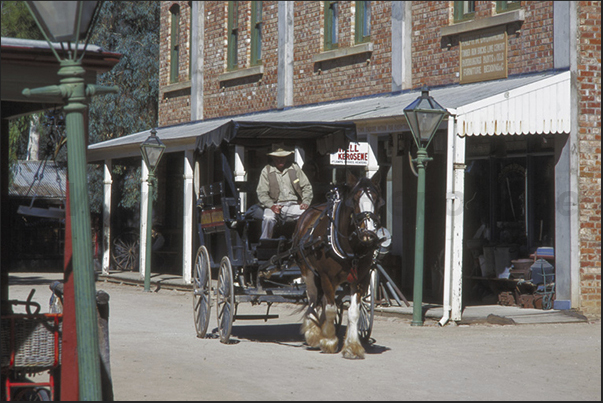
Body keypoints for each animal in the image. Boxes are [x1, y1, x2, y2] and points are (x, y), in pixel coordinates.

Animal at [294, 170, 386, 360]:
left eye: (377, 199)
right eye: (355, 199)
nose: (368, 234)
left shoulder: (360, 279)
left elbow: (353, 311)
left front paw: (352, 346)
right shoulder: (327, 277)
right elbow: (330, 308)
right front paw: (329, 340)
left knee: (321, 300)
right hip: (308, 272)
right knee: (313, 298)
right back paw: (313, 332)